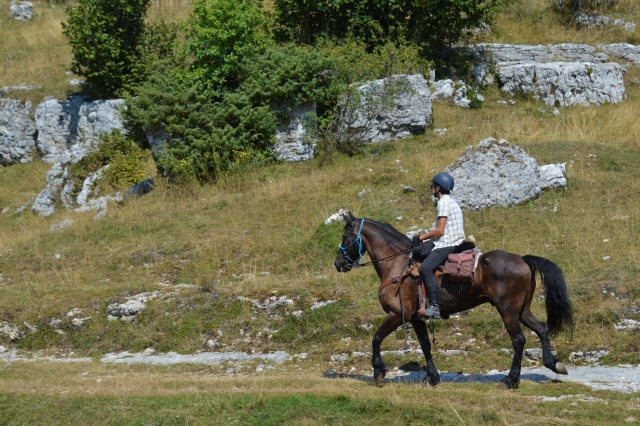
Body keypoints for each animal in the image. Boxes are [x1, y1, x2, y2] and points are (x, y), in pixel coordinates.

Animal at [334, 212, 573, 389]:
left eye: (345, 236)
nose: (338, 263)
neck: (398, 264)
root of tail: (523, 260)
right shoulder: (416, 318)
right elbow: (425, 345)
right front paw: (431, 378)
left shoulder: (396, 314)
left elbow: (376, 338)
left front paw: (378, 372)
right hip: (522, 310)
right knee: (541, 329)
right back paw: (554, 364)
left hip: (508, 312)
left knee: (519, 340)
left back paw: (510, 380)